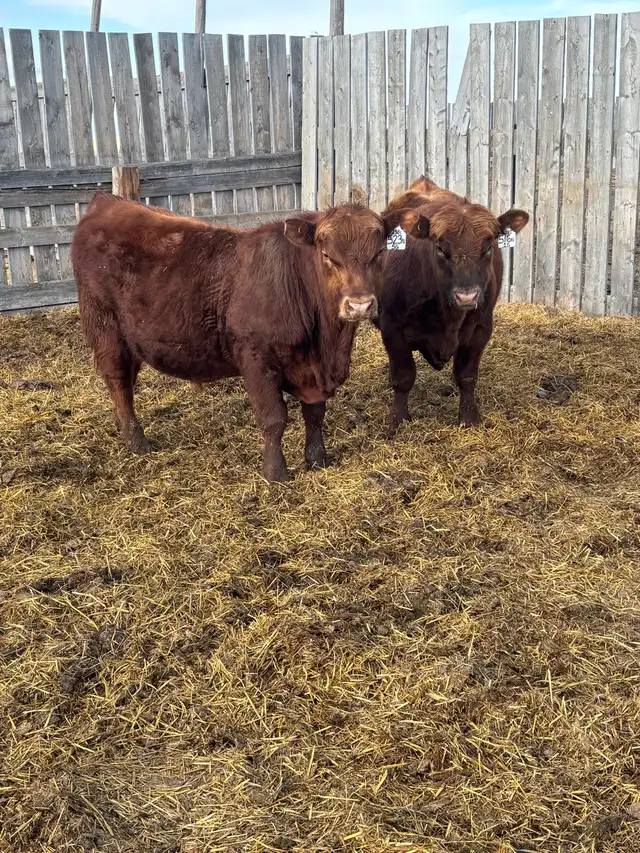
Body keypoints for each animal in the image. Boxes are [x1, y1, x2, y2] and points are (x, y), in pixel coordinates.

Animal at [71, 192, 429, 482]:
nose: (359, 304)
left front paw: (317, 459)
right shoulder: (257, 360)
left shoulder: (313, 373)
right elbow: (273, 420)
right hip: (105, 328)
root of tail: (107, 202)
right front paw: (276, 474)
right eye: (328, 255)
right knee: (118, 383)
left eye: (379, 252)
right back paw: (136, 441)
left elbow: (315, 414)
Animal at [374, 177, 529, 432]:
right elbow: (403, 377)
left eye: (488, 247)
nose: (466, 297)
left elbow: (467, 376)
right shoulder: (392, 328)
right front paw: (399, 419)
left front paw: (468, 417)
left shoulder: (481, 328)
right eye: (439, 247)